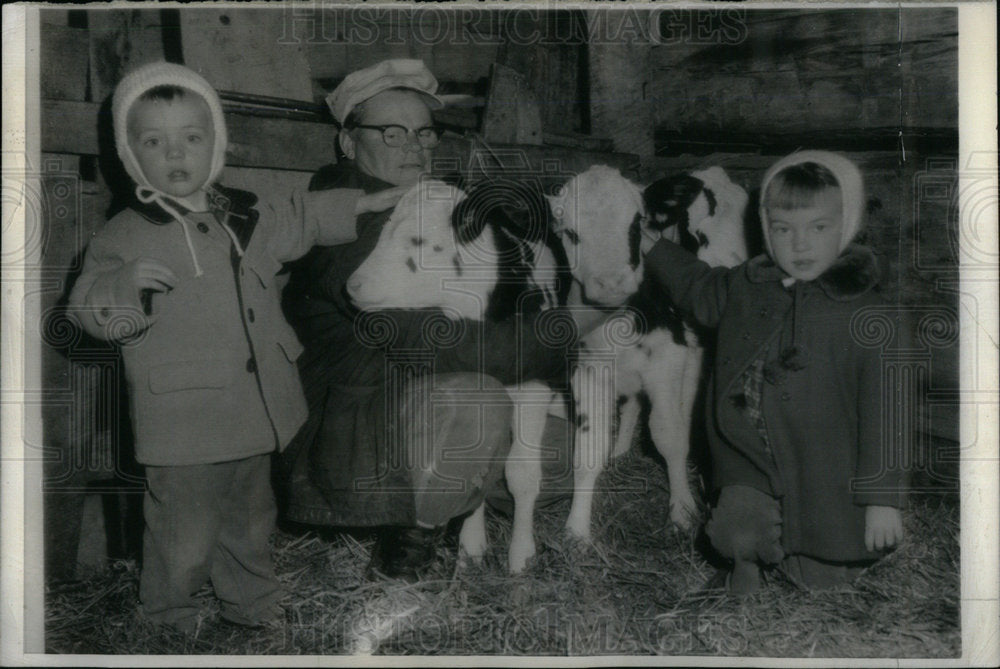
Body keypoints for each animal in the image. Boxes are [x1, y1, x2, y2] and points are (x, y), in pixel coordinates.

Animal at [544, 164, 748, 540]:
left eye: (636, 224)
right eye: (570, 232)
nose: (612, 284)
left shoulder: (667, 363)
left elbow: (668, 436)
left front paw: (682, 511)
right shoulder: (588, 369)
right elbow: (588, 450)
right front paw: (576, 530)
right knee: (633, 404)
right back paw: (622, 448)